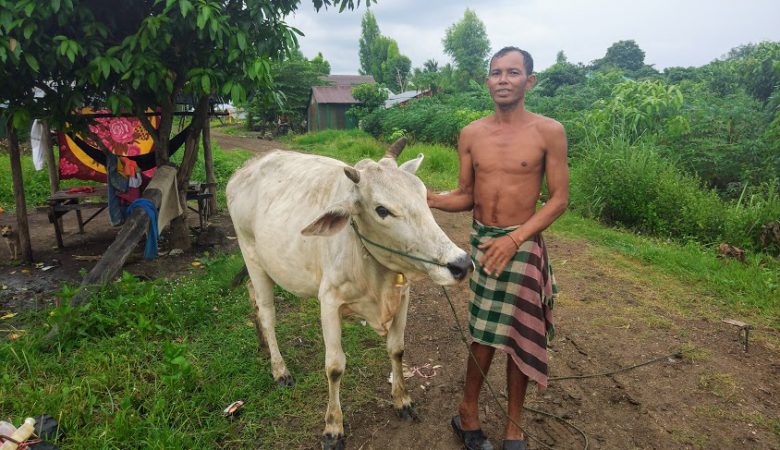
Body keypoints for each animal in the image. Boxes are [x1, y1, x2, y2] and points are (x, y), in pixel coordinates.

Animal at [225, 147, 470, 446]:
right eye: (382, 210)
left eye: (423, 195)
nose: (461, 264)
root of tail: (243, 170)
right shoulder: (329, 302)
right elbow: (334, 367)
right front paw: (333, 427)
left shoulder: (404, 294)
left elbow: (397, 349)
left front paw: (402, 400)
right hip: (251, 255)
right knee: (267, 313)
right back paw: (279, 369)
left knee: (254, 299)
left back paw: (263, 345)